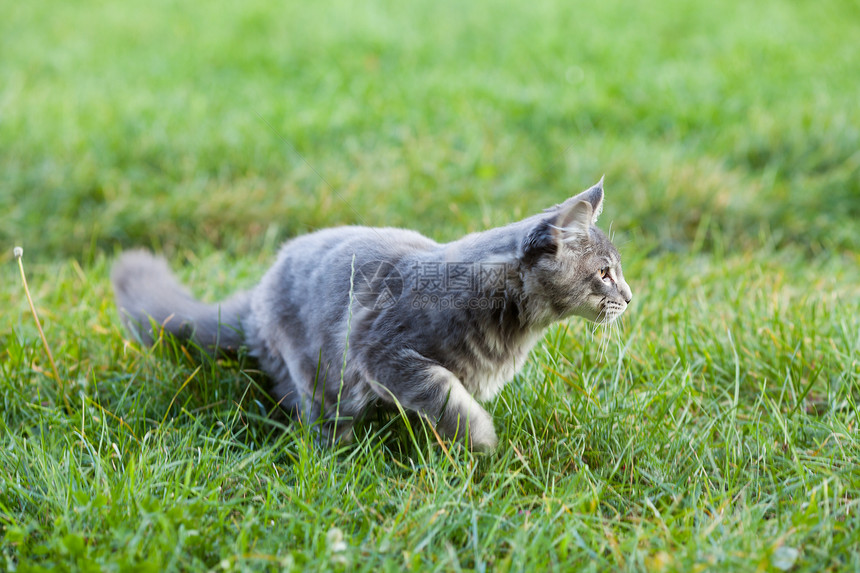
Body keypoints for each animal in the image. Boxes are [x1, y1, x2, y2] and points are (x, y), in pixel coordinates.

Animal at [112, 177, 632, 450]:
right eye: (605, 273)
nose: (629, 297)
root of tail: (257, 294)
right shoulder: (382, 350)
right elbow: (447, 392)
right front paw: (484, 442)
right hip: (317, 374)